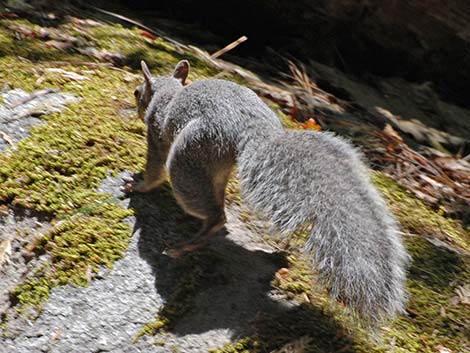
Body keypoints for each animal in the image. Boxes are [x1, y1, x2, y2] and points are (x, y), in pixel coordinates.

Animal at [126, 60, 410, 322]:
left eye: (137, 92)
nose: (136, 103)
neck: (170, 92)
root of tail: (253, 129)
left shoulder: (156, 134)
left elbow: (154, 170)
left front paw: (137, 186)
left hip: (188, 156)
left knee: (213, 212)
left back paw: (186, 245)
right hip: (214, 162)